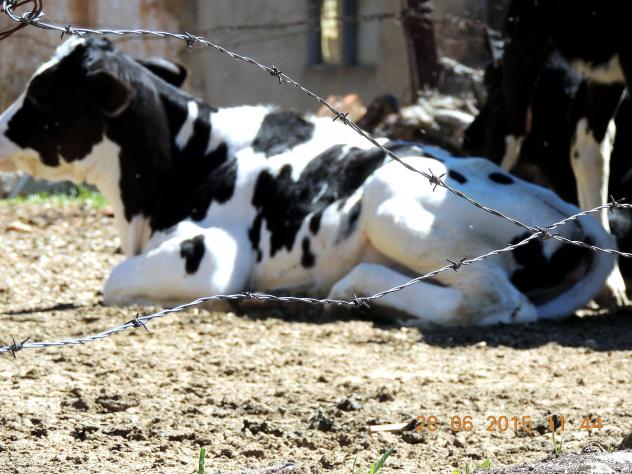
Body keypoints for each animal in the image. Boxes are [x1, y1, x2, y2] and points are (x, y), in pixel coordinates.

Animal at [0, 37, 617, 326]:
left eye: (44, 94)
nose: (0, 127)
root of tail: (564, 211)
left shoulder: (211, 254)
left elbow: (113, 282)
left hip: (392, 206)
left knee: (497, 300)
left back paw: (356, 290)